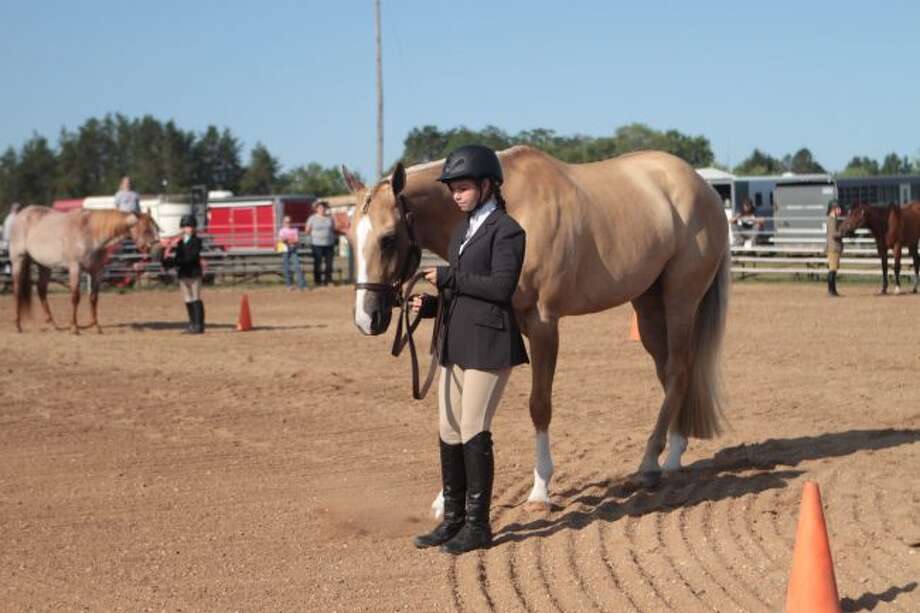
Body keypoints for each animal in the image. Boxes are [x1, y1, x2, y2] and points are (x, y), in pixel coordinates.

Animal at [11, 206, 160, 333]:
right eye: (146, 229)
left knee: (41, 290)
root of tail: (21, 214)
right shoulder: (75, 268)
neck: (91, 234)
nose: (156, 250)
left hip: (45, 265)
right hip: (18, 260)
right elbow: (75, 297)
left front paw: (96, 326)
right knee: (18, 290)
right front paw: (74, 327)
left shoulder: (97, 272)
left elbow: (93, 298)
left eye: (157, 228)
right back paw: (18, 325)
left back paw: (53, 324)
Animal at [345, 145, 730, 517]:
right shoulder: (504, 329)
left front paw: (540, 491)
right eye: (348, 237)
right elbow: (467, 411)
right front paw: (444, 500)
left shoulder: (544, 325)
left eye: (388, 238)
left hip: (680, 300)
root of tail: (704, 188)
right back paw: (673, 453)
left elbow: (539, 406)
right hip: (648, 304)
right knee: (669, 373)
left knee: (679, 371)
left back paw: (654, 463)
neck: (513, 207)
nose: (367, 319)